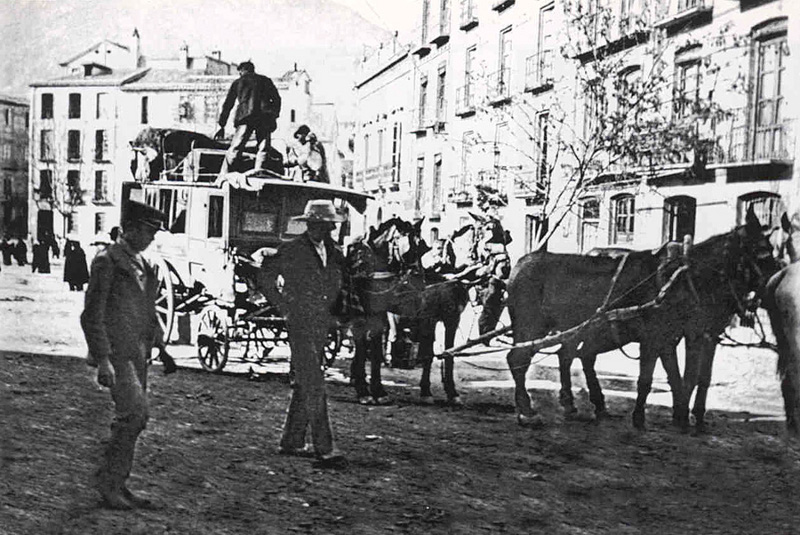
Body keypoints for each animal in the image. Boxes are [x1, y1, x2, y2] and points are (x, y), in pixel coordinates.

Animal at [506, 207, 780, 434]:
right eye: (763, 254)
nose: (778, 286)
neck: (686, 277)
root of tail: (520, 264)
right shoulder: (660, 337)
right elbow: (652, 379)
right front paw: (641, 417)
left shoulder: (678, 337)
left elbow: (681, 377)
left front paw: (682, 416)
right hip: (531, 328)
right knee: (519, 360)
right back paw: (527, 411)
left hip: (576, 330)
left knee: (569, 355)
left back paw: (578, 404)